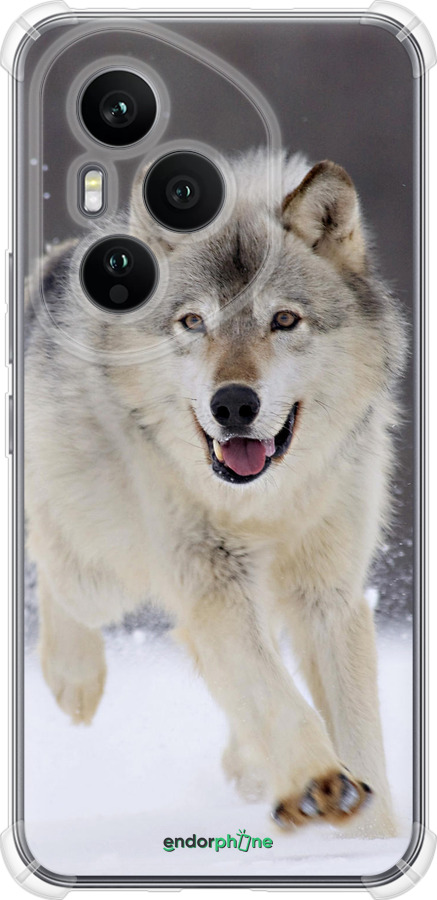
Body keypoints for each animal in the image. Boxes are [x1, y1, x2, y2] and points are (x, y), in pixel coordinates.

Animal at [24, 151, 406, 837]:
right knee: (51, 559)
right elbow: (274, 695)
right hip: (104, 573)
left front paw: (373, 838)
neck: (265, 504)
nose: (232, 404)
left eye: (283, 320)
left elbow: (358, 733)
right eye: (193, 322)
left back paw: (249, 766)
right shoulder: (212, 582)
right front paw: (319, 783)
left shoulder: (328, 594)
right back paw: (75, 679)